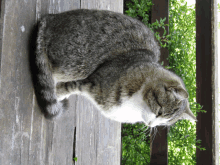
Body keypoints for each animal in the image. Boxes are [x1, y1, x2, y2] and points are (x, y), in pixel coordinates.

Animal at [35, 9, 197, 127]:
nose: (151, 125)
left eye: (165, 122)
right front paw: (58, 93)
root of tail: (50, 19)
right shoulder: (92, 81)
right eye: (160, 112)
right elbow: (69, 88)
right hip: (78, 63)